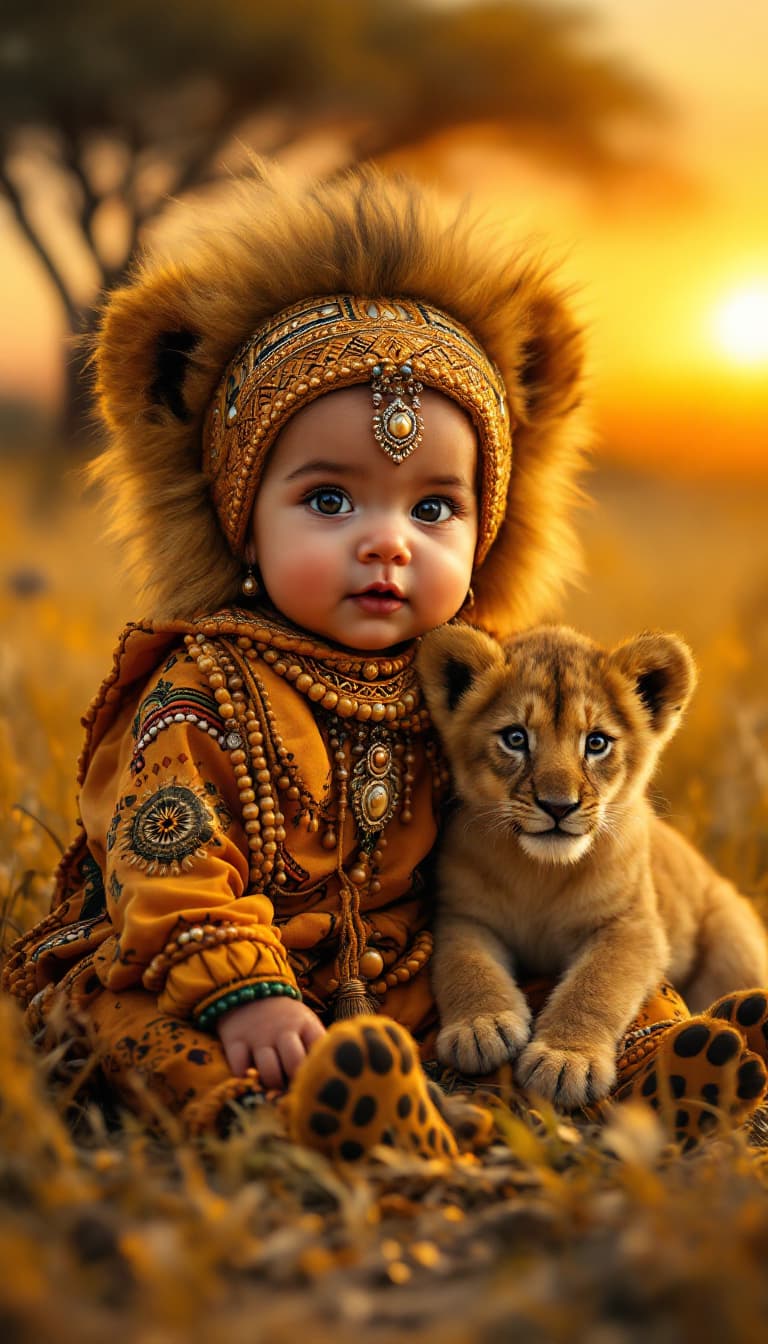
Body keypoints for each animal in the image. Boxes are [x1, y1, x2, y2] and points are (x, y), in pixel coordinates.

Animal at [417, 623, 768, 1108]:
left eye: (596, 743)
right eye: (516, 738)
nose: (557, 806)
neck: (539, 873)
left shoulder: (632, 926)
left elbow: (595, 987)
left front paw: (565, 1061)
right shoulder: (462, 915)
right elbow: (465, 965)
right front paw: (480, 1028)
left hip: (733, 934)